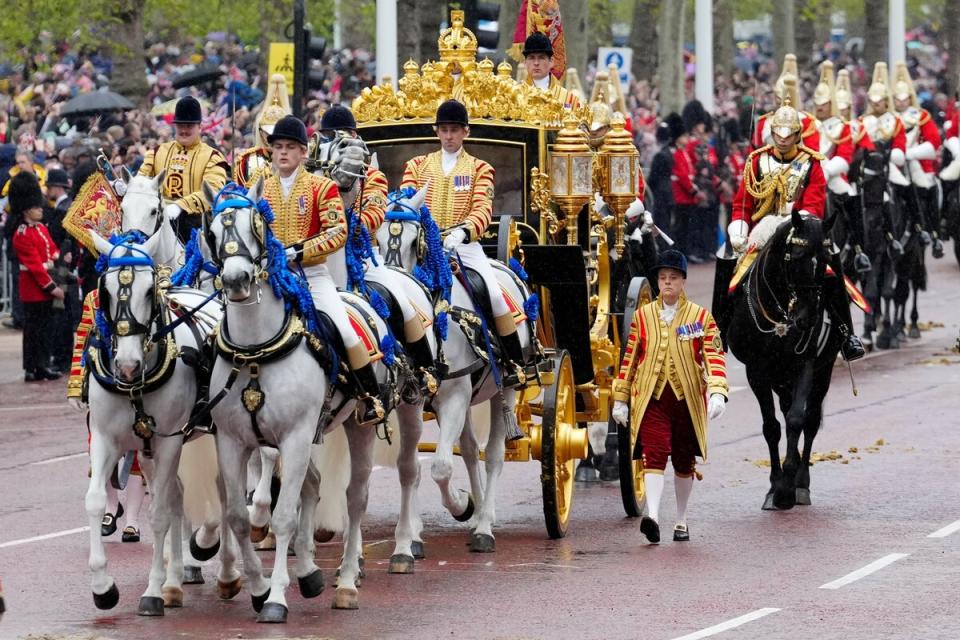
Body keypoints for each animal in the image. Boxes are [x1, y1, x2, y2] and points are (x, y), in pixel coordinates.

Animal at [84, 229, 238, 616]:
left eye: (148, 291)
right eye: (105, 290)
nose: (126, 366)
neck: (135, 387)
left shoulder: (169, 441)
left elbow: (158, 513)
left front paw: (153, 591)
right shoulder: (107, 439)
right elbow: (95, 500)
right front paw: (103, 586)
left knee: (225, 493)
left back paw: (226, 571)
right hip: (149, 451)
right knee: (178, 495)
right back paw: (179, 572)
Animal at [201, 180, 392, 620]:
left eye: (256, 224)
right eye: (213, 231)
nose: (237, 280)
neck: (256, 351)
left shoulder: (295, 435)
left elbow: (284, 516)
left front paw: (274, 599)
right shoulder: (232, 441)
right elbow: (237, 516)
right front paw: (257, 588)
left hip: (357, 425)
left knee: (355, 497)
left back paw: (345, 581)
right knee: (314, 485)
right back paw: (308, 573)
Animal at [376, 188, 540, 556]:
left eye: (415, 242)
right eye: (374, 238)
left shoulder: (454, 396)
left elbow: (439, 466)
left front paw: (461, 505)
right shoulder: (415, 401)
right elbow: (414, 466)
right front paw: (414, 535)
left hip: (505, 388)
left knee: (493, 455)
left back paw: (484, 524)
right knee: (468, 448)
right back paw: (478, 512)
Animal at [728, 212, 840, 512]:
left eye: (826, 260)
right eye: (797, 256)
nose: (808, 320)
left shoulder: (806, 366)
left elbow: (796, 420)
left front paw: (788, 489)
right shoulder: (756, 371)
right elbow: (771, 427)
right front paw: (775, 486)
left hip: (822, 373)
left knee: (810, 421)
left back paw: (802, 482)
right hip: (779, 379)